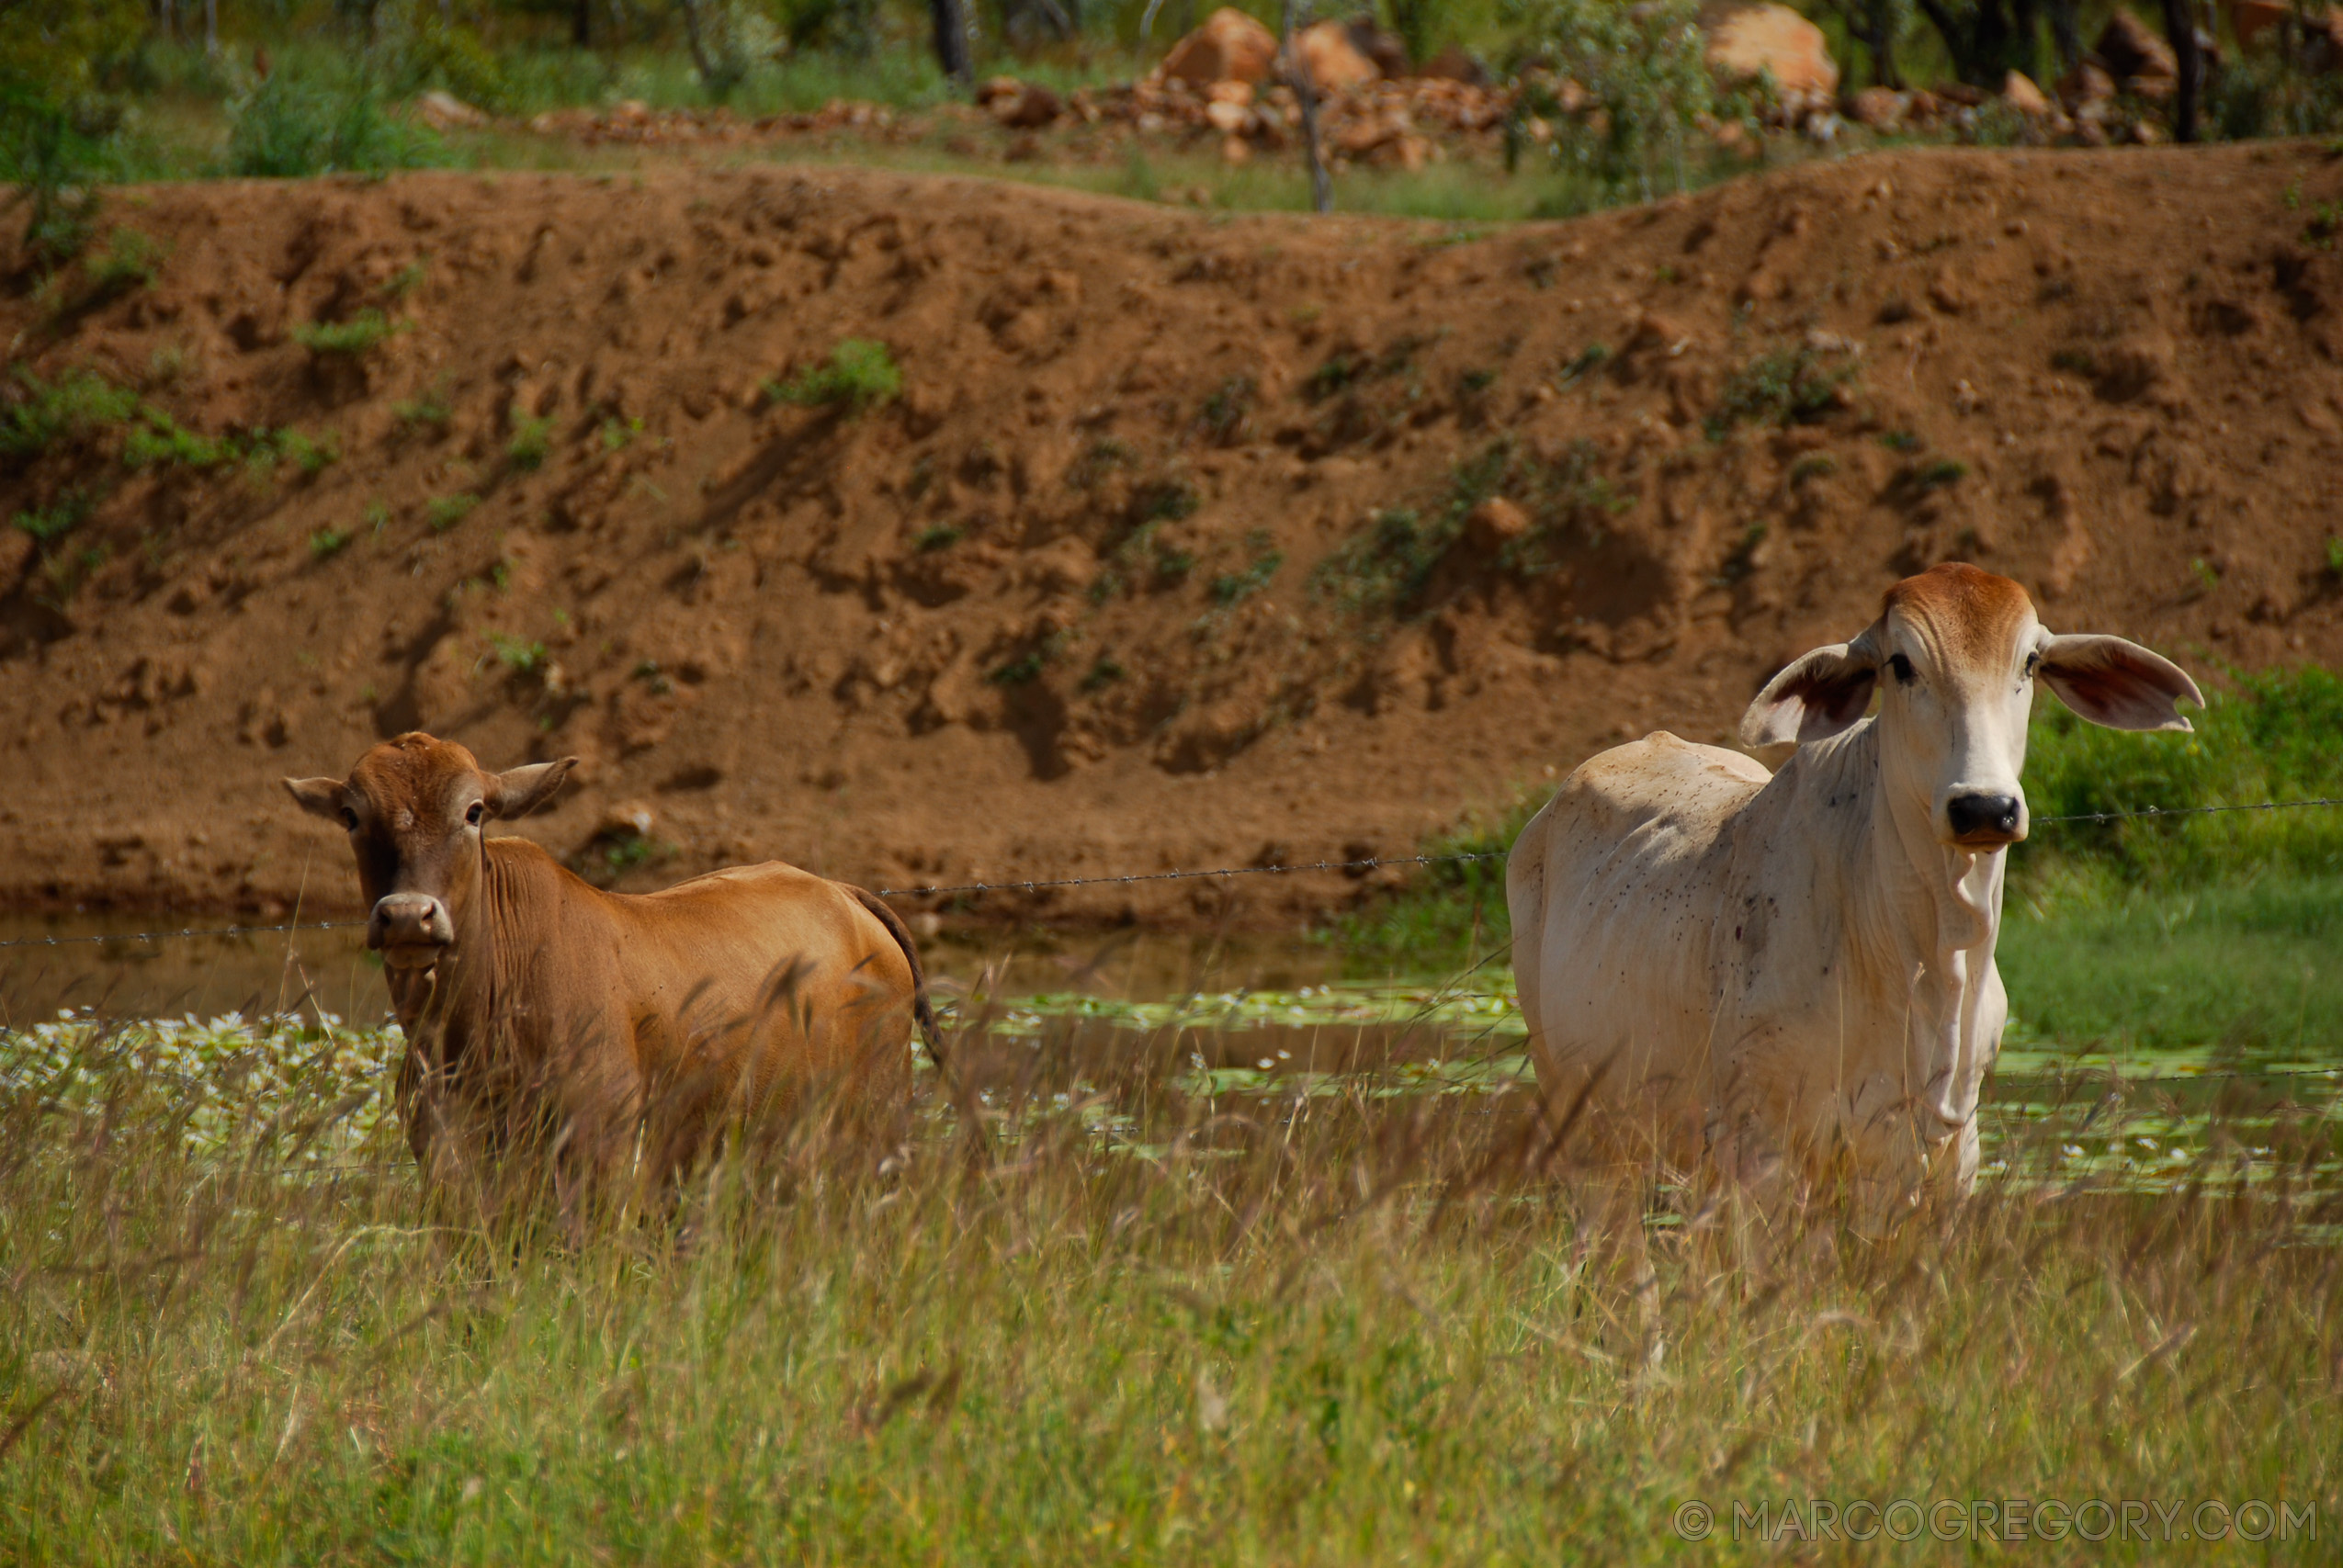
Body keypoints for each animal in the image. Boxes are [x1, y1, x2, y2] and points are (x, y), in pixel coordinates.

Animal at [292, 736, 942, 1186]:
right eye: (351, 816)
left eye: (474, 811)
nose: (408, 916)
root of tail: (841, 890)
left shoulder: (600, 1145)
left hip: (879, 1119)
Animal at [1509, 559, 2202, 1247]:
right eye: (1900, 663)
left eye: (2030, 662)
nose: (1984, 807)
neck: (1928, 959)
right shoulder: (1763, 1150)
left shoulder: (1949, 1153)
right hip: (1584, 1123)